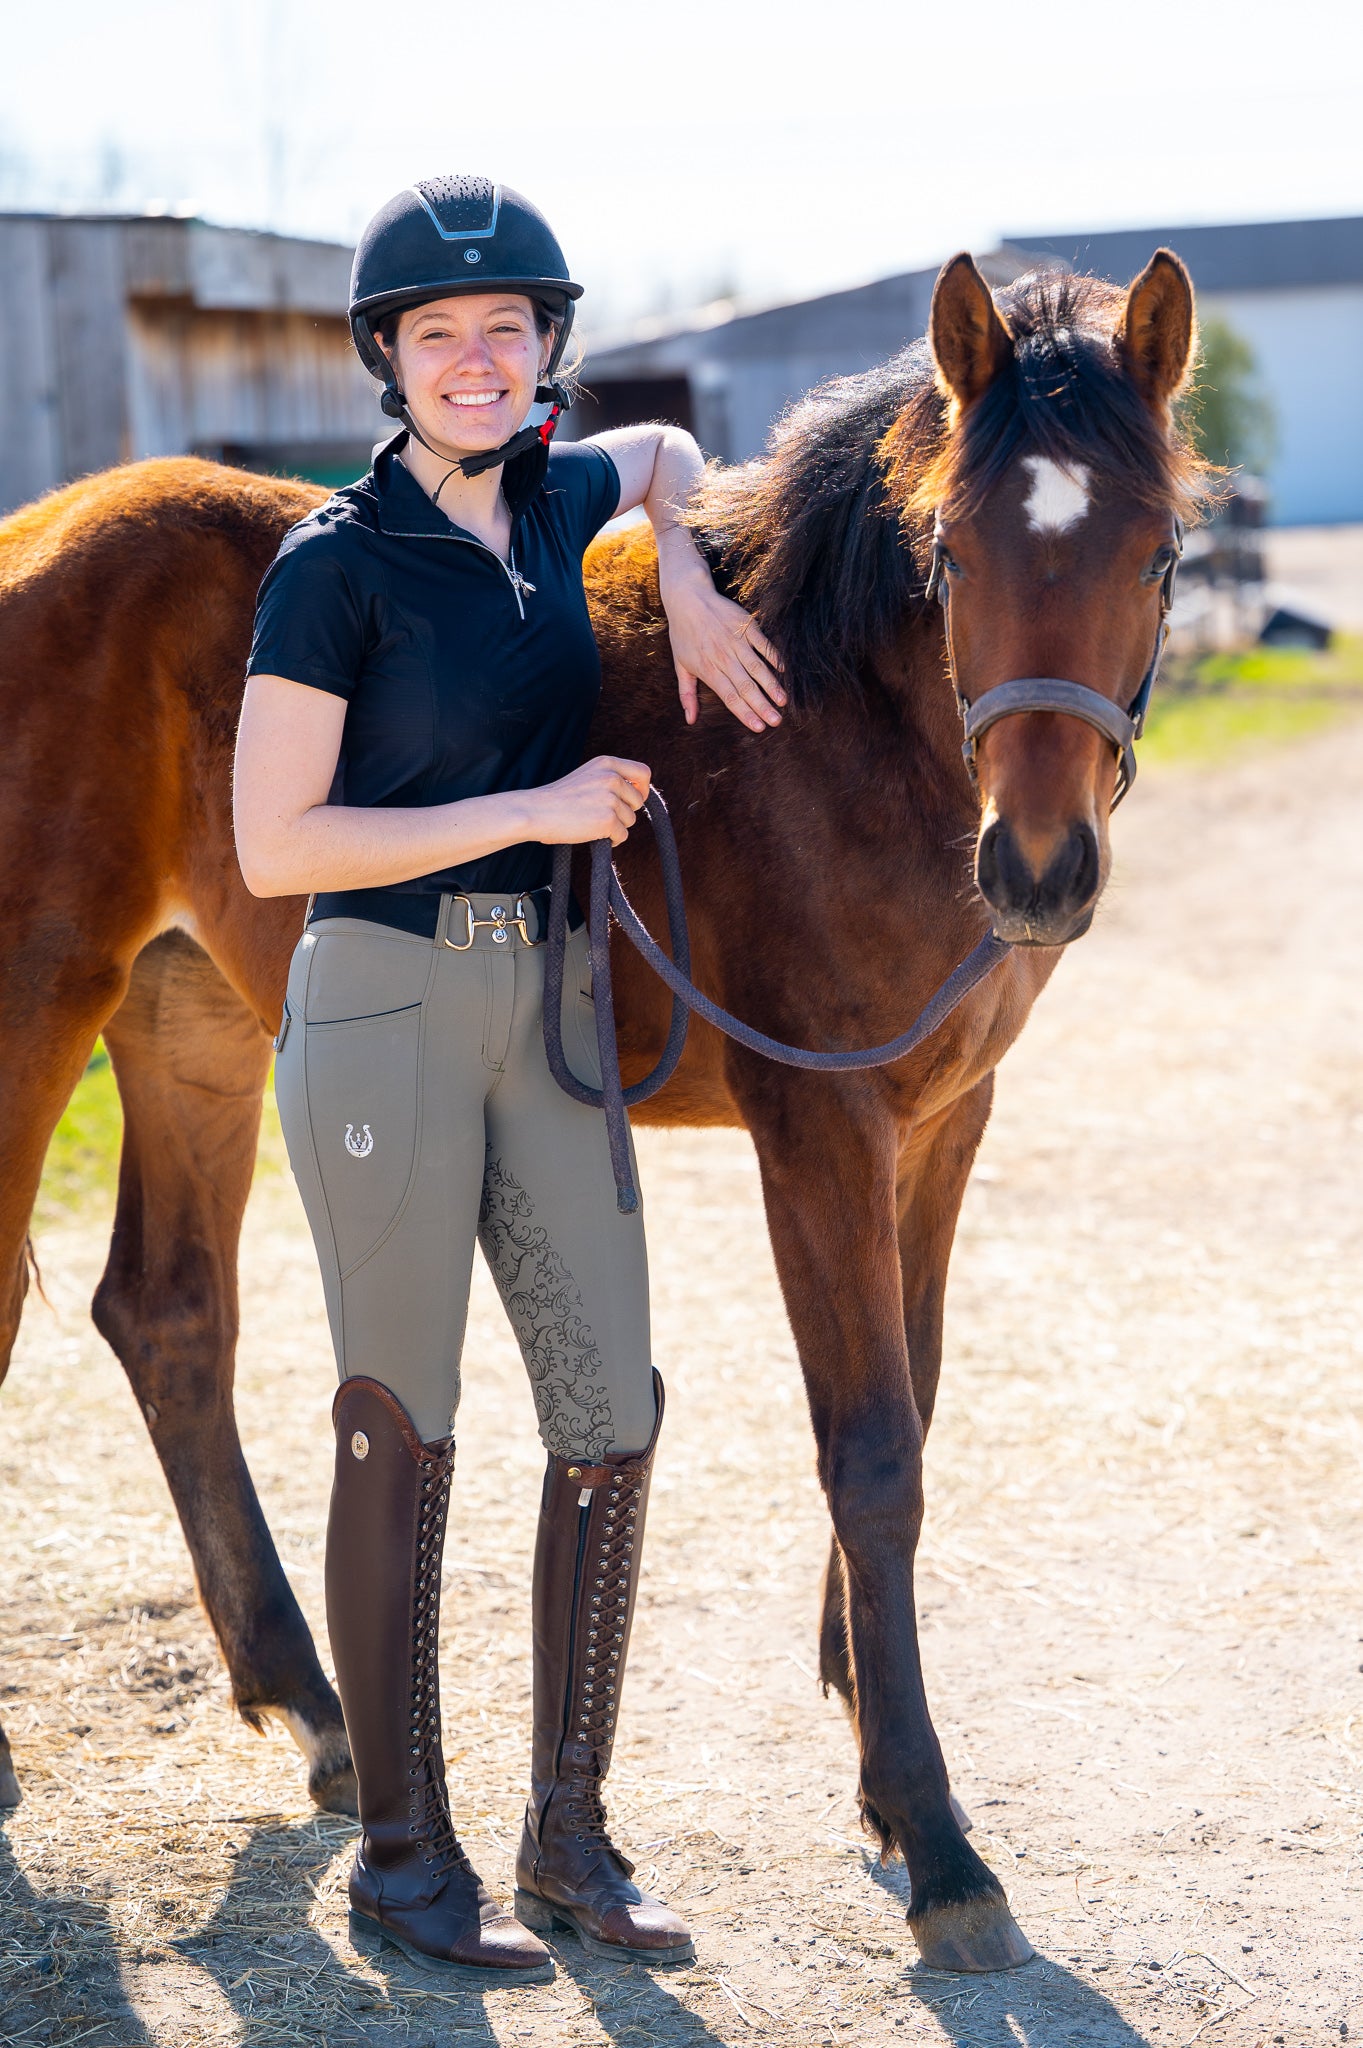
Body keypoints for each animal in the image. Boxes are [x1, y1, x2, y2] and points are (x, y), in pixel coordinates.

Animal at [0, 251, 1203, 1966]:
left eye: (1155, 550)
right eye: (950, 552)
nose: (1035, 870)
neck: (836, 726)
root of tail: (43, 532)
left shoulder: (942, 1120)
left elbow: (915, 1396)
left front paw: (861, 1723)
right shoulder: (820, 1127)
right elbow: (870, 1450)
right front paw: (933, 1836)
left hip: (192, 1028)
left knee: (168, 1318)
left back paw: (320, 1715)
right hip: (41, 1010)